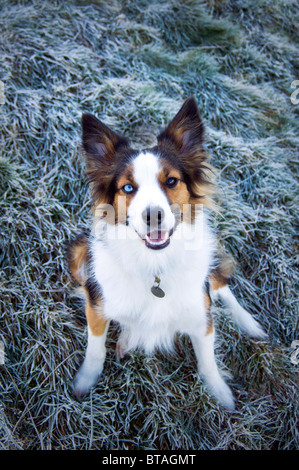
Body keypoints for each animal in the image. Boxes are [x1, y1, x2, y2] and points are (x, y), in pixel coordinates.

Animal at [68, 97, 268, 410]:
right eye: (128, 187)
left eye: (171, 181)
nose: (153, 216)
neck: (155, 265)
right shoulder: (97, 302)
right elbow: (95, 347)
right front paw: (85, 380)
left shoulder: (200, 316)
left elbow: (208, 359)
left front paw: (220, 394)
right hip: (78, 255)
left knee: (221, 286)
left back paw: (249, 323)